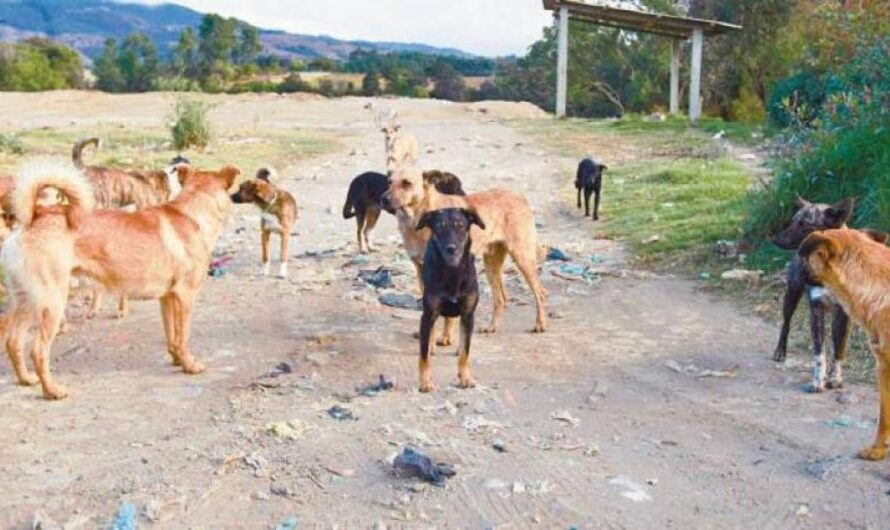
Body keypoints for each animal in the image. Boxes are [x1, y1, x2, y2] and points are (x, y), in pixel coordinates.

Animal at [0, 159, 238, 398]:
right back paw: (52, 391)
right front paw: (189, 365)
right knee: (38, 351)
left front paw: (178, 360)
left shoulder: (168, 298)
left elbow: (172, 337)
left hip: (27, 301)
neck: (193, 211)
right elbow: (183, 336)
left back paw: (26, 379)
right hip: (52, 303)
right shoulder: (185, 296)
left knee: (13, 341)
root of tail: (35, 215)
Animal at [384, 167, 548, 342]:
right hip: (491, 264)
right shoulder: (422, 270)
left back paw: (540, 324)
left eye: (406, 183)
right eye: (389, 182)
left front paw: (446, 338)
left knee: (540, 292)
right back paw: (491, 327)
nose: (383, 199)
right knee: (501, 298)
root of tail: (519, 196)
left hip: (523, 258)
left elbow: (448, 315)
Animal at [412, 207, 482, 392]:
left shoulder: (468, 314)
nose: (451, 248)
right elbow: (424, 355)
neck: (453, 270)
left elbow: (465, 352)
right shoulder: (428, 313)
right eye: (439, 227)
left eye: (460, 226)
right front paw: (425, 382)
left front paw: (465, 378)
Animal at [772, 196, 856, 390]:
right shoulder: (816, 311)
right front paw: (817, 380)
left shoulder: (844, 315)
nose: (775, 240)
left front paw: (835, 378)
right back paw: (780, 351)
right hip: (792, 295)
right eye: (793, 221)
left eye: (805, 224)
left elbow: (839, 349)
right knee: (786, 324)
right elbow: (819, 353)